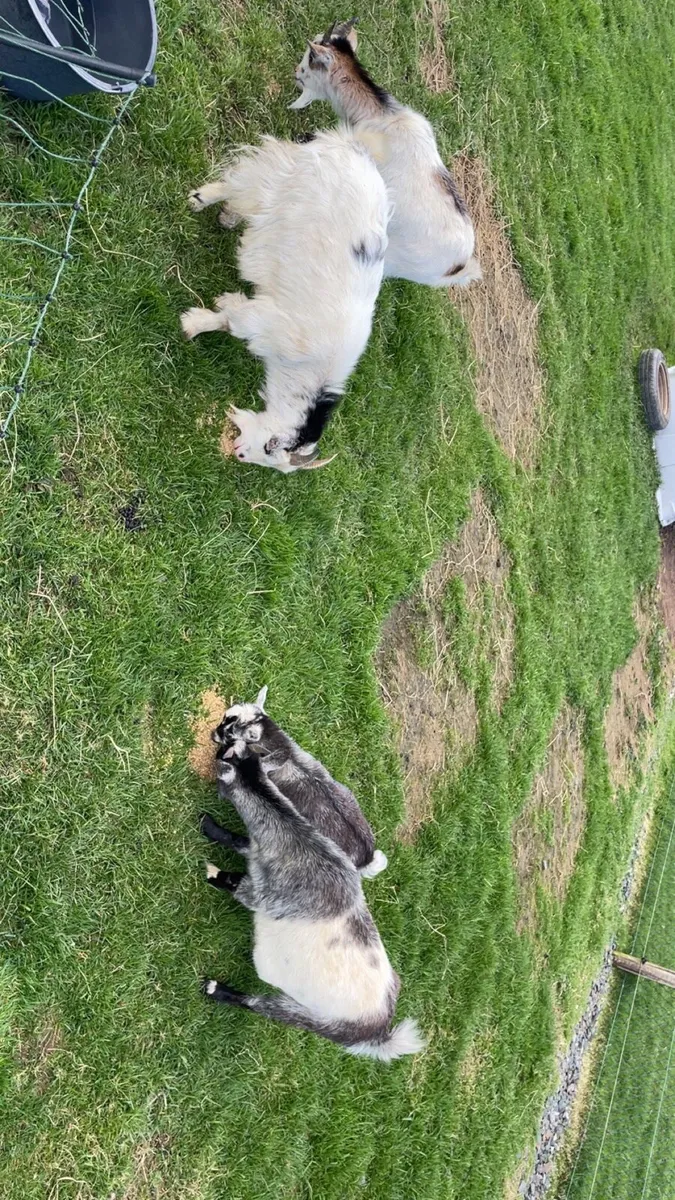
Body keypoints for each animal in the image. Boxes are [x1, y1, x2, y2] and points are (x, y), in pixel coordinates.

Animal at [180, 129, 389, 472]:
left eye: (271, 456)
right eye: (270, 445)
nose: (239, 454)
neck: (309, 368)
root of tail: (352, 148)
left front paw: (222, 302)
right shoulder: (264, 320)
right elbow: (229, 324)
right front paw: (192, 325)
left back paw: (227, 216)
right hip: (281, 181)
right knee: (244, 180)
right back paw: (201, 199)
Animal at [201, 740, 424, 1060]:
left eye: (225, 753)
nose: (215, 747)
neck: (300, 843)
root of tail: (379, 1032)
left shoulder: (261, 896)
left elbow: (235, 884)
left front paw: (212, 873)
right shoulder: (257, 852)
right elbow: (239, 841)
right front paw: (209, 826)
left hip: (312, 1018)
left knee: (262, 1006)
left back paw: (216, 990)